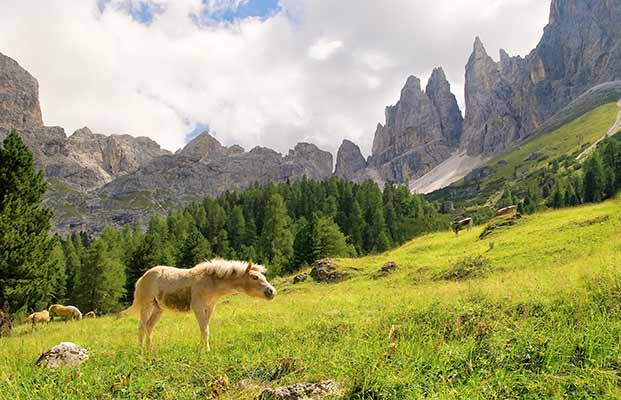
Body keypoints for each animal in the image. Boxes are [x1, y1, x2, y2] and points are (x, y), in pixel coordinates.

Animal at [126, 260, 276, 350]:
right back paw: (141, 351)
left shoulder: (209, 308)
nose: (272, 292)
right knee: (142, 326)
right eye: (254, 277)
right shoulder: (198, 308)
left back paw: (150, 349)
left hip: (158, 309)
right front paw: (206, 350)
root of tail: (142, 278)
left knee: (149, 327)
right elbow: (204, 329)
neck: (211, 282)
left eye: (263, 276)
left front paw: (202, 348)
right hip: (147, 305)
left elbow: (205, 329)